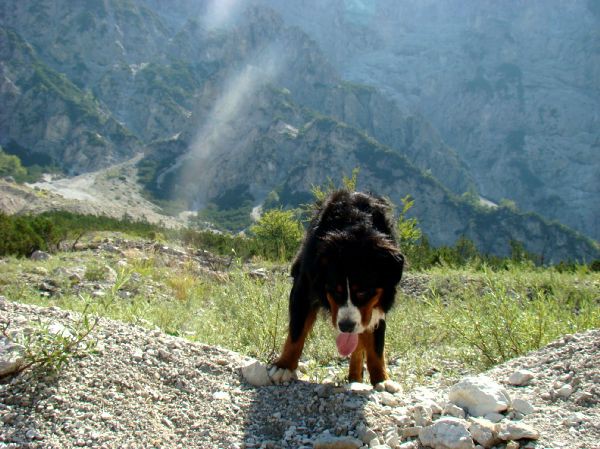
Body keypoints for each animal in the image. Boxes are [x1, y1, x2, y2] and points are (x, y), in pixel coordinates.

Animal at [270, 187, 404, 384]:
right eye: (334, 290)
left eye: (363, 292)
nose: (346, 326)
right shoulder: (304, 286)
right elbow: (297, 330)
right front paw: (284, 366)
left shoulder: (377, 304)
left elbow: (375, 344)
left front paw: (382, 380)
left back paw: (355, 376)